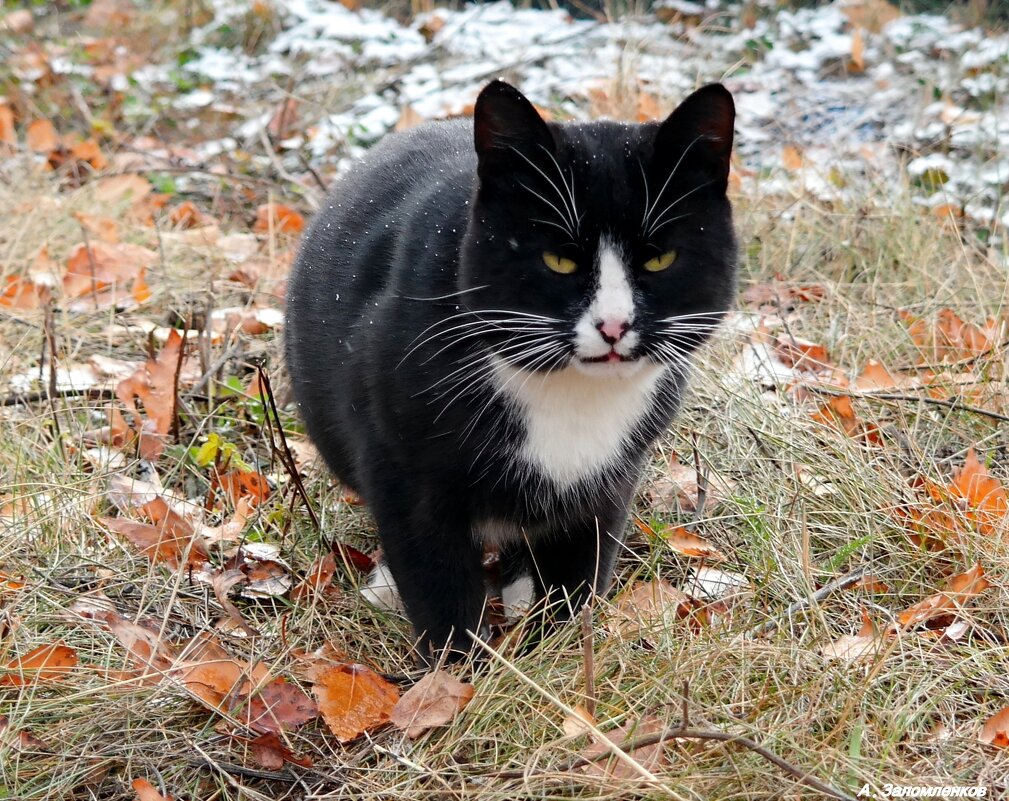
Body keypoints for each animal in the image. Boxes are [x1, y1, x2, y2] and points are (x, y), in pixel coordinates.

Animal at [288, 79, 738, 661]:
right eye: (559, 261)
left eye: (660, 259)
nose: (614, 325)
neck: (571, 397)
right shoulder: (403, 470)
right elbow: (436, 579)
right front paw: (458, 673)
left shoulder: (611, 478)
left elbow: (580, 569)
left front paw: (558, 652)